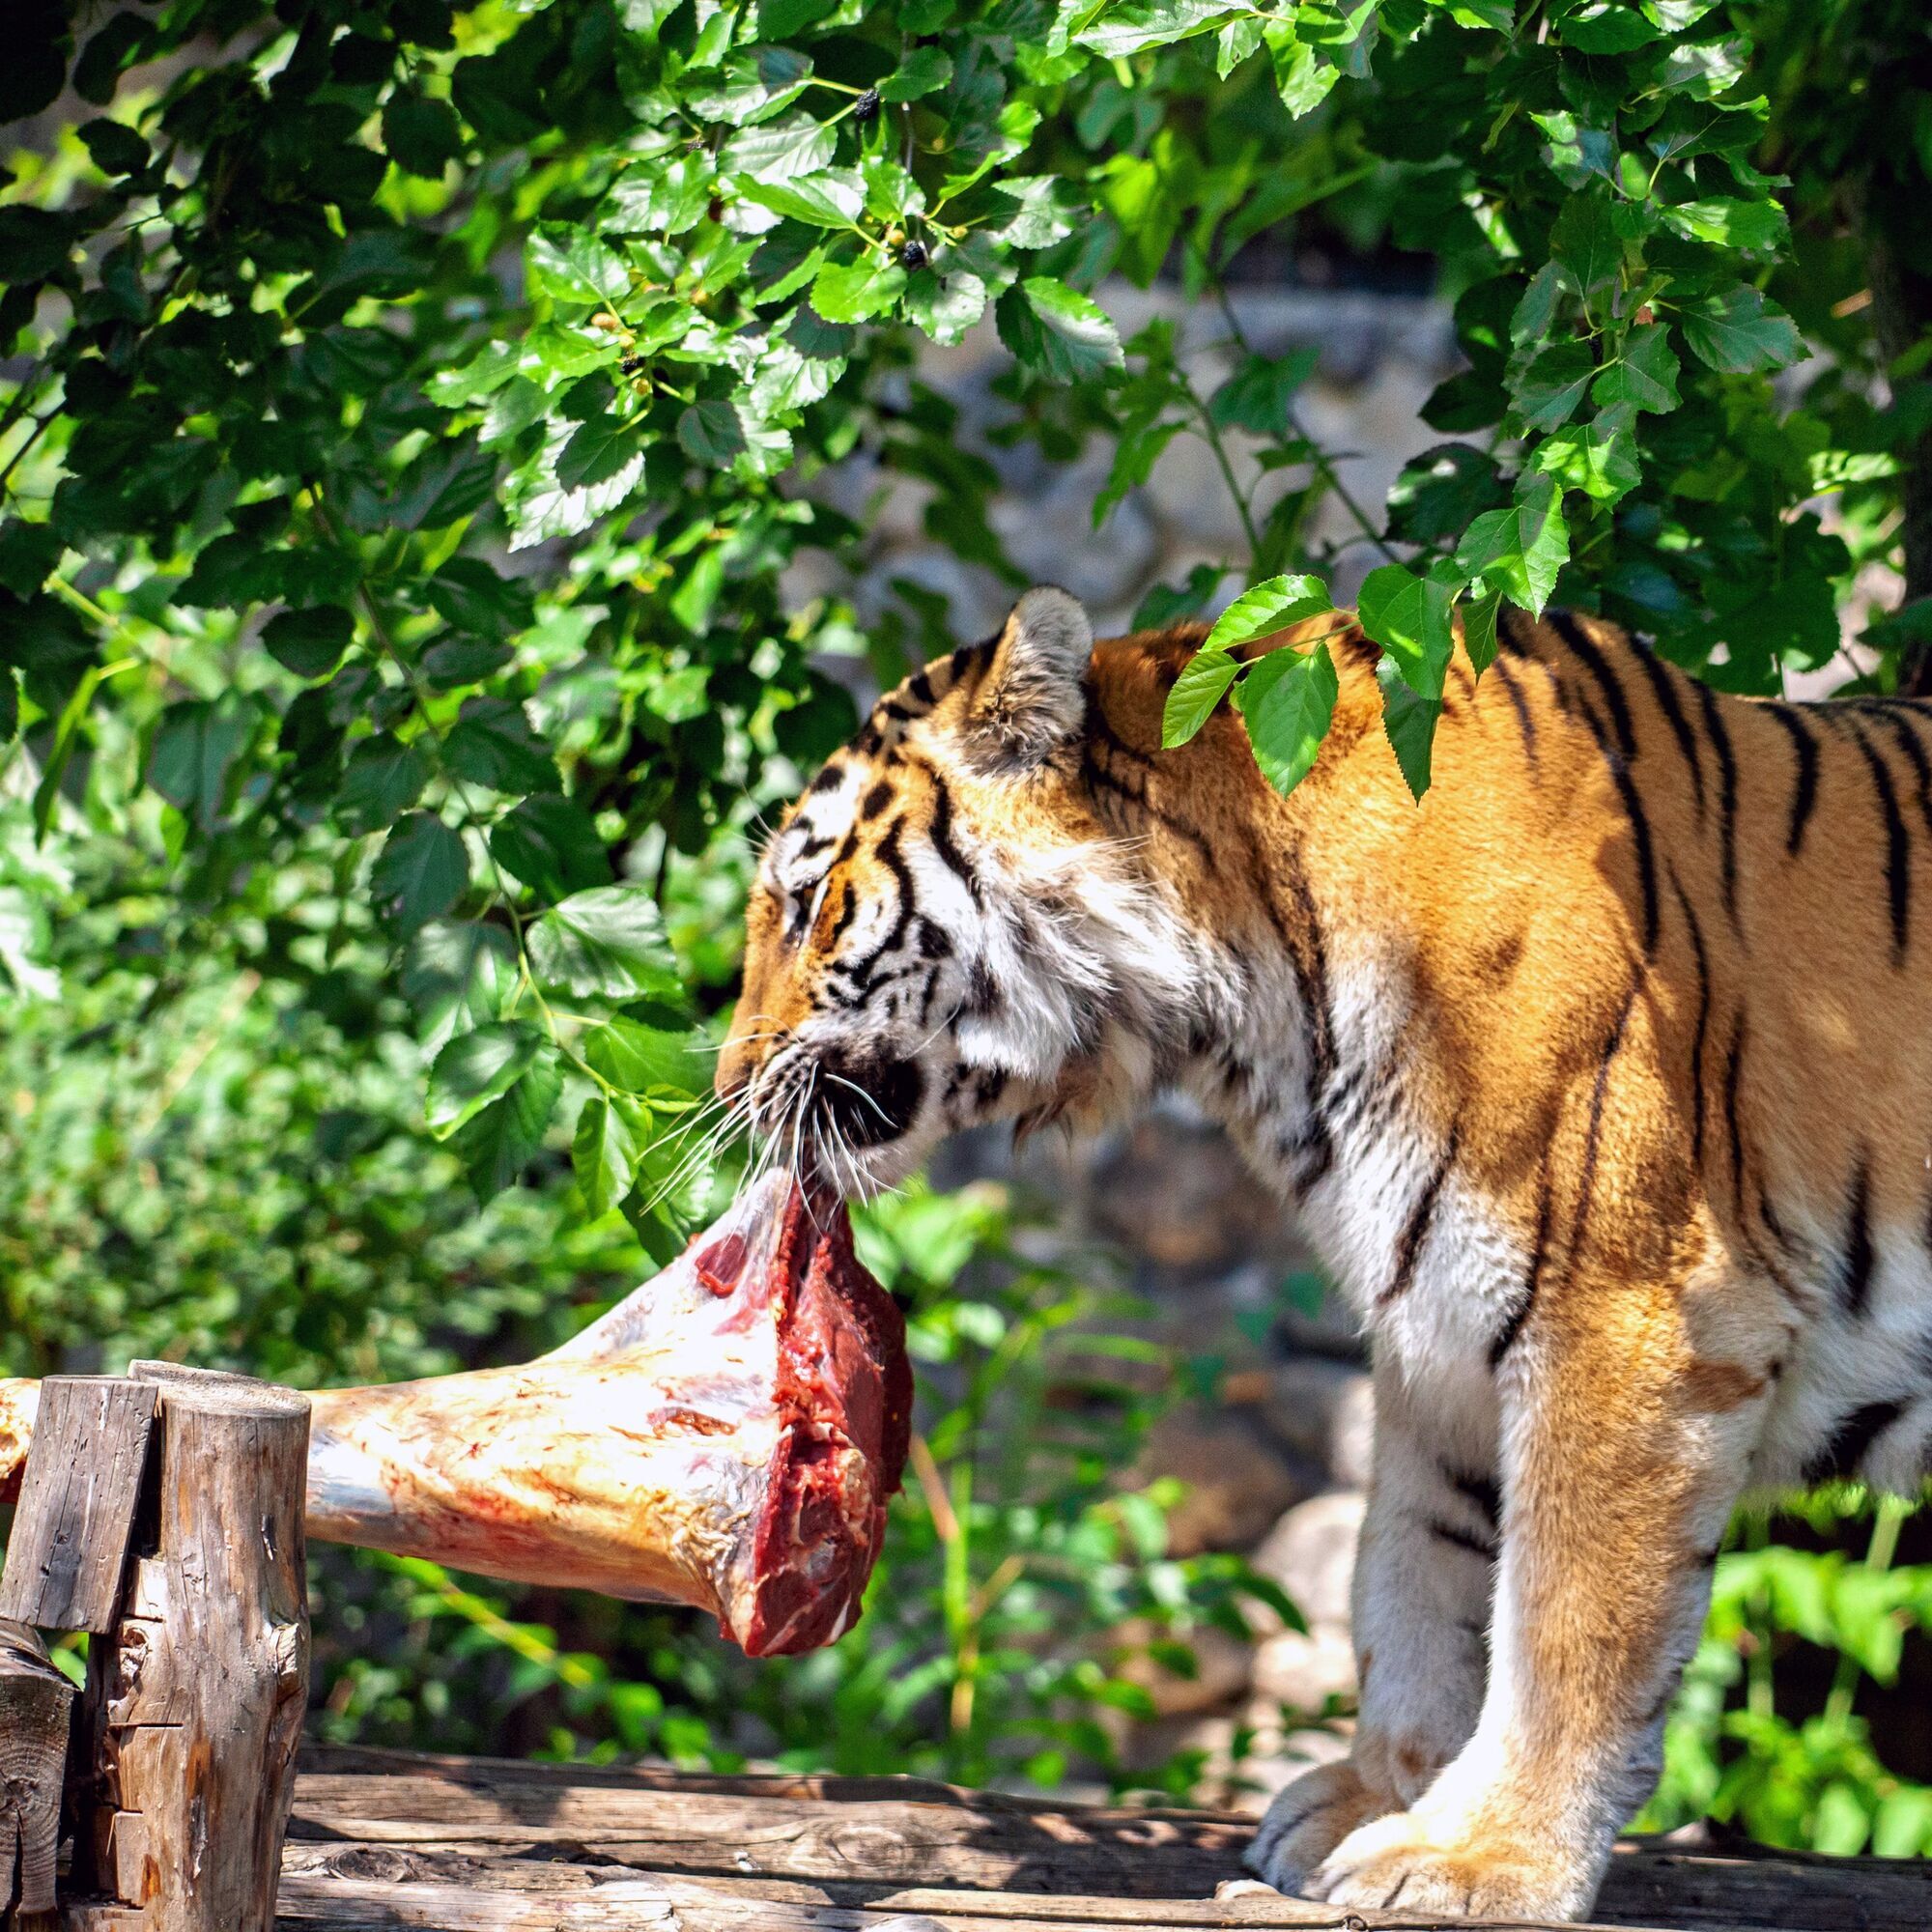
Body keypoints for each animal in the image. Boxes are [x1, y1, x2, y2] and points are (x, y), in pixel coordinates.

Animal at [719, 583, 1932, 1917]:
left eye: (805, 901)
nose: (722, 1083)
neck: (1247, 1003)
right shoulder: (1441, 1325)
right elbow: (1412, 1573)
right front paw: (1378, 1799)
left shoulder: (1628, 1313)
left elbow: (1562, 1617)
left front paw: (1482, 1854)